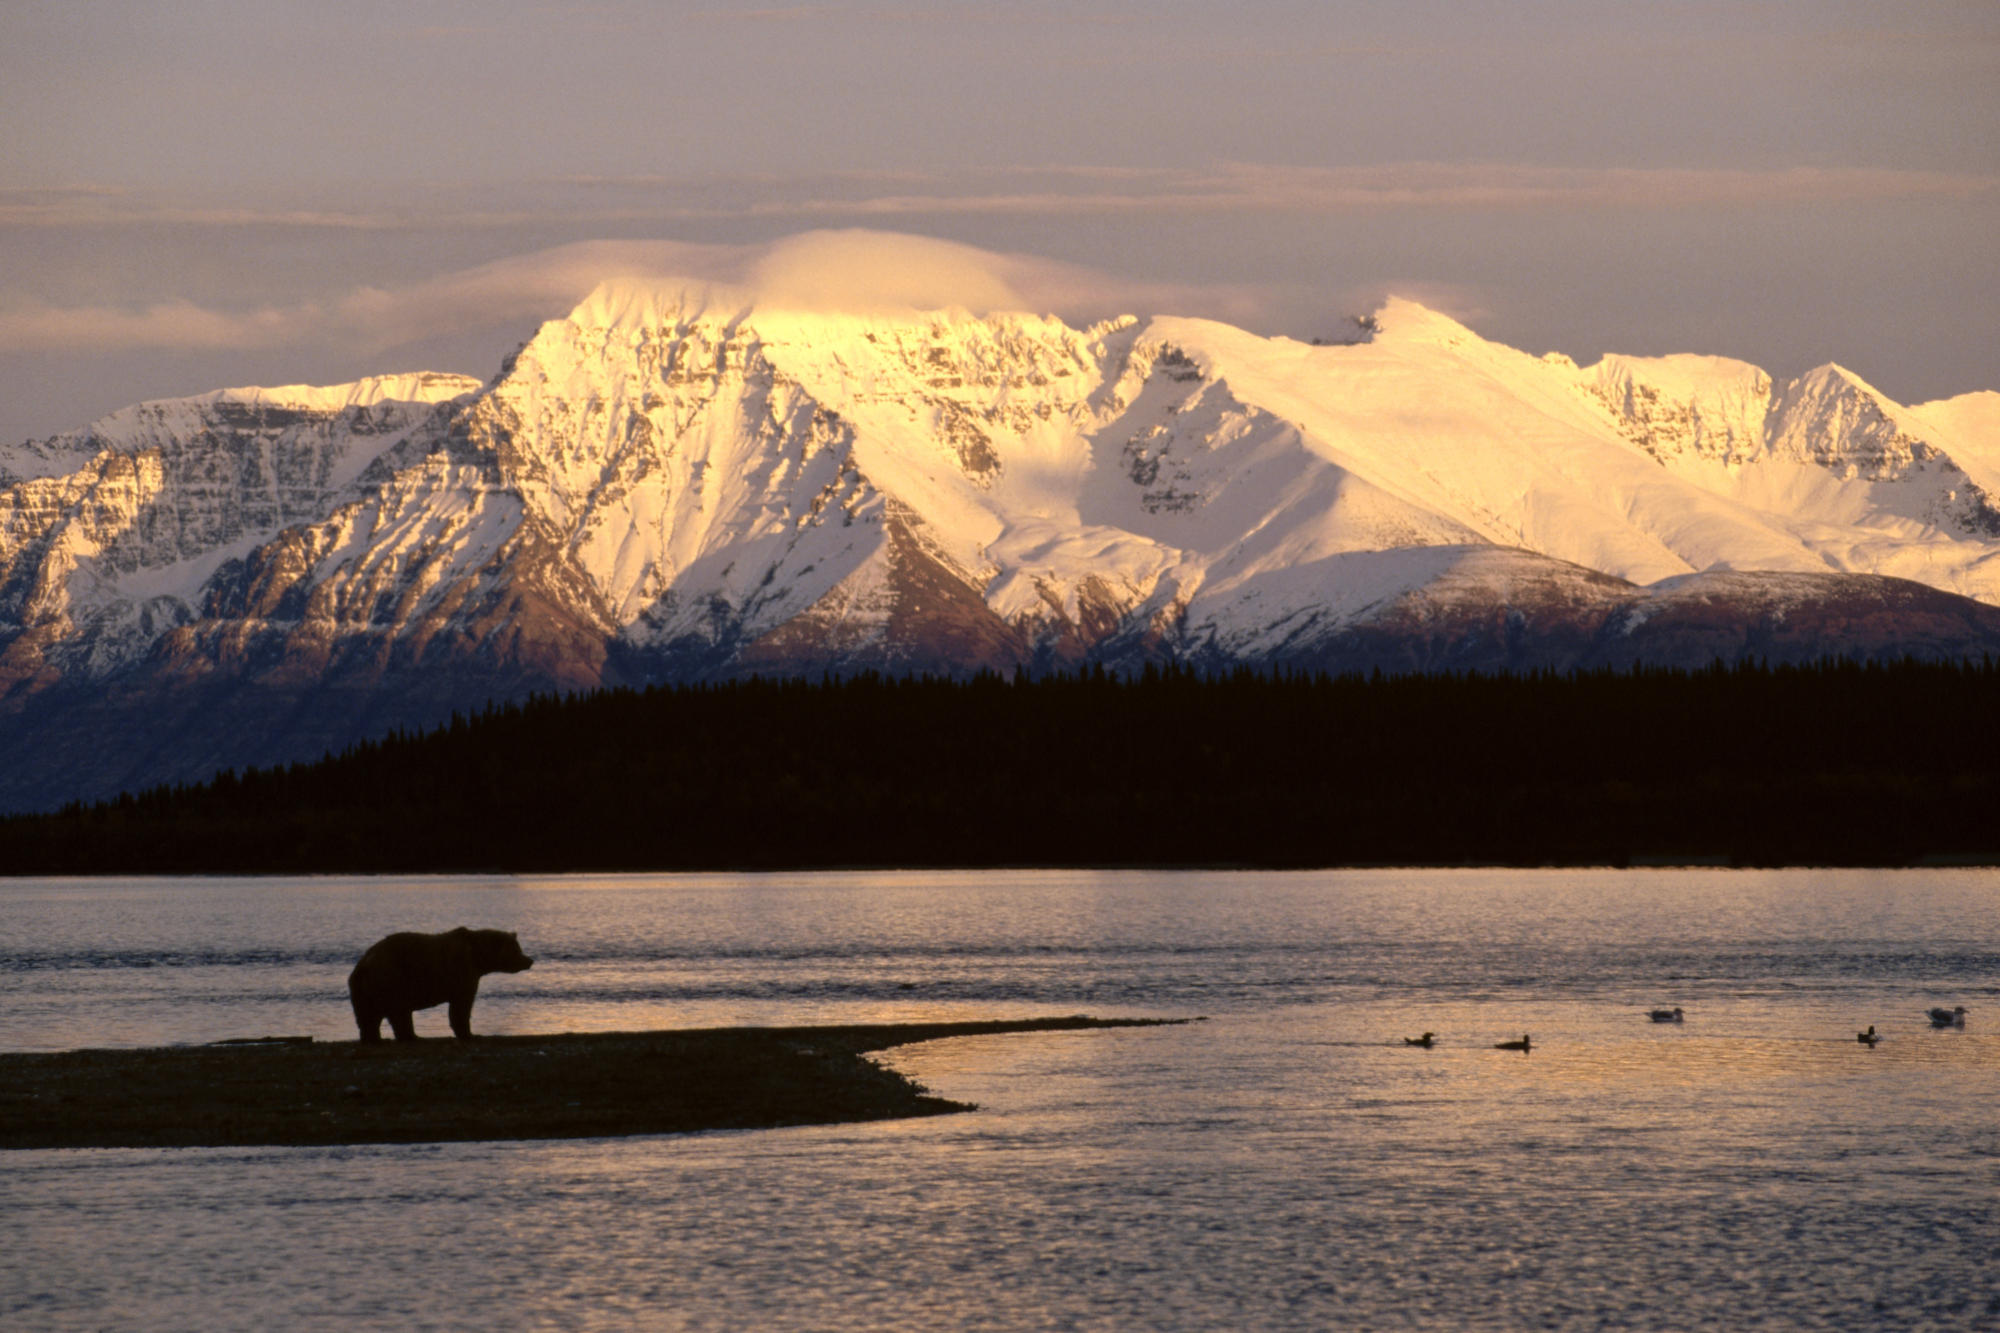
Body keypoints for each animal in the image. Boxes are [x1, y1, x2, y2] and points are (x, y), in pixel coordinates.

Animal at [348, 924, 532, 1040]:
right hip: (393, 978)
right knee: (398, 1011)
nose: (529, 960)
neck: (479, 958)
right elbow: (462, 1005)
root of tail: (363, 963)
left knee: (368, 1016)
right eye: (517, 949)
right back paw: (411, 1036)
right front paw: (470, 1034)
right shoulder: (462, 970)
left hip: (364, 988)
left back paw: (375, 1038)